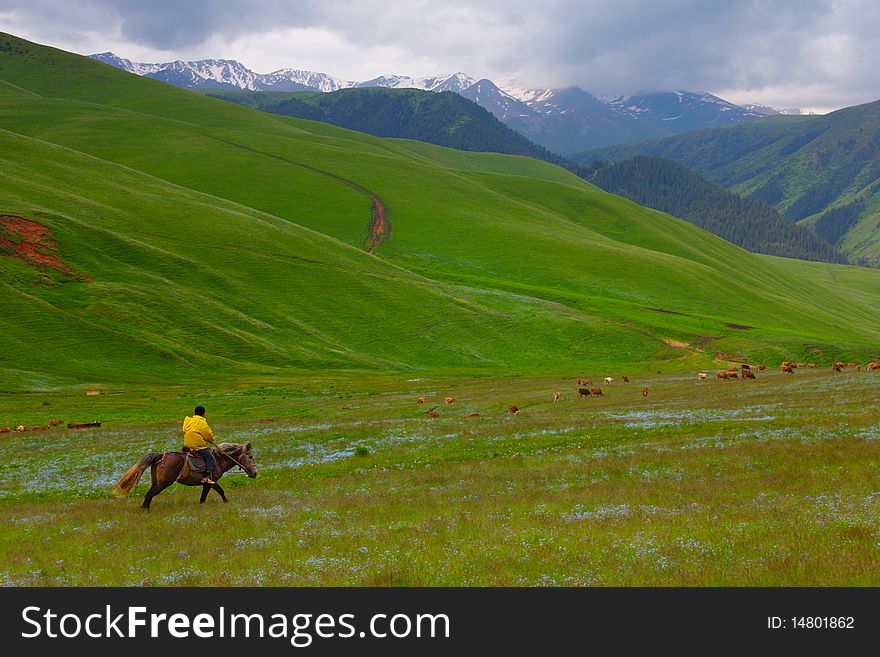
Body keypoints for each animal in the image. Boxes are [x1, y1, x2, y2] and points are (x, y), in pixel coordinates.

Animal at [115, 444, 256, 510]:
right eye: (250, 457)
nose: (255, 473)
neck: (218, 459)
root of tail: (161, 456)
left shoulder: (211, 482)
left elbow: (217, 492)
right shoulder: (209, 481)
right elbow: (207, 496)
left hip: (156, 482)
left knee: (149, 495)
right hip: (163, 484)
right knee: (149, 495)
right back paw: (145, 511)